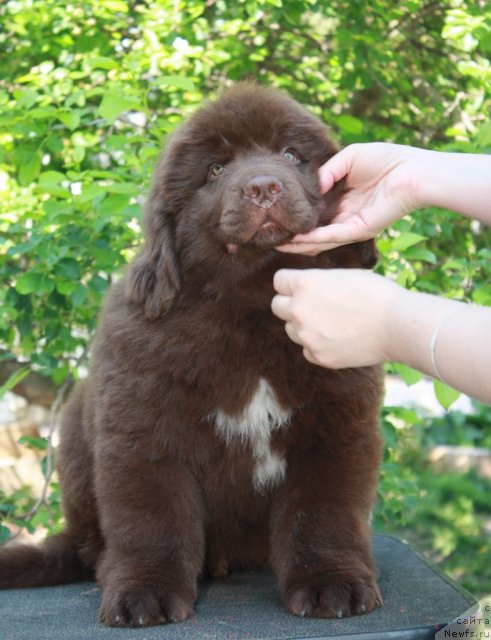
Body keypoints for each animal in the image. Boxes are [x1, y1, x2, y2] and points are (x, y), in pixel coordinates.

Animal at [0, 84, 384, 624]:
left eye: (291, 155)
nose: (263, 187)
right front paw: (146, 593)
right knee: (97, 549)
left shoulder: (336, 425)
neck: (252, 308)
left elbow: (323, 513)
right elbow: (153, 520)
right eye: (216, 170)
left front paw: (332, 583)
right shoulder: (144, 431)